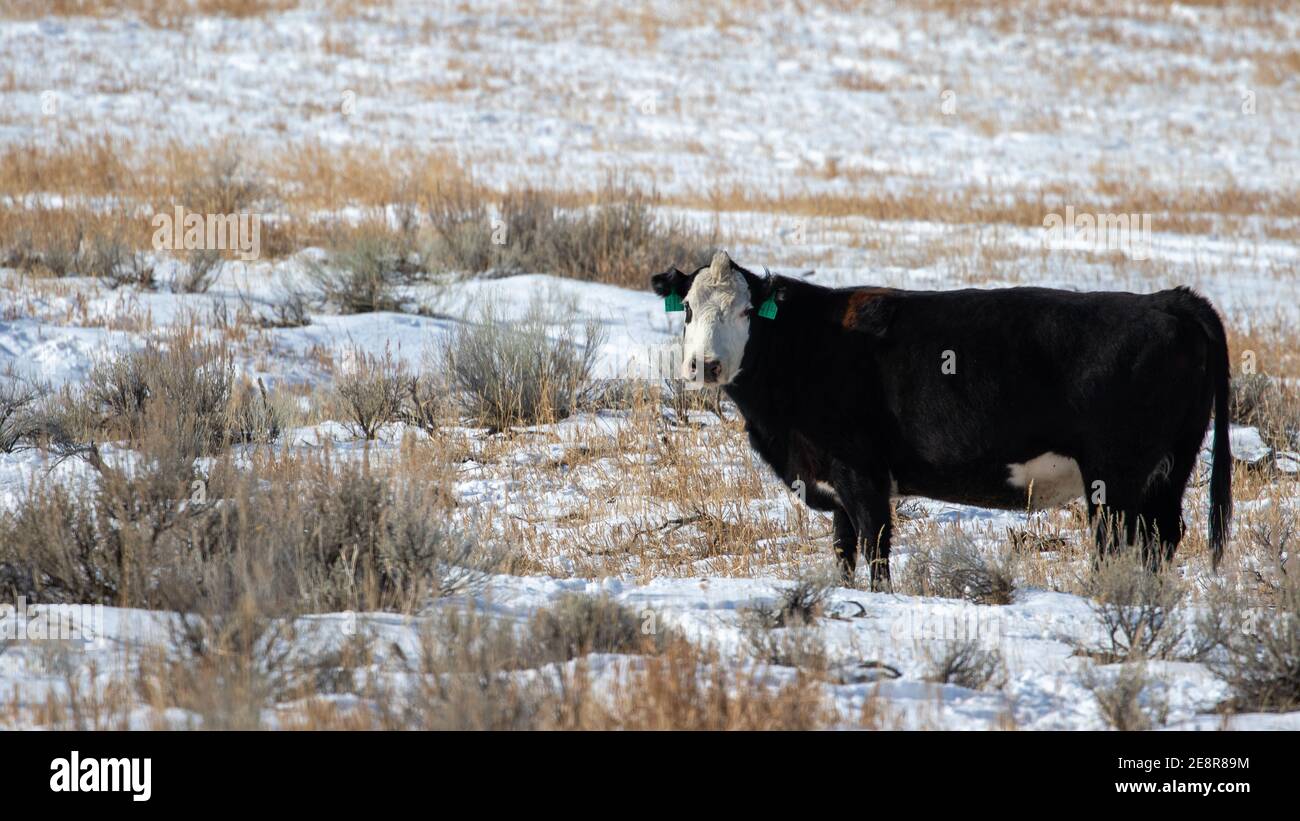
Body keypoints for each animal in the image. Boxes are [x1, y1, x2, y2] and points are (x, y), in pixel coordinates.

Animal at [655, 250, 1232, 584]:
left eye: (747, 310)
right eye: (687, 309)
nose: (704, 365)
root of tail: (1168, 300)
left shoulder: (862, 474)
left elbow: (876, 550)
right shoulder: (834, 482)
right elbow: (843, 553)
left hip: (1115, 477)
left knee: (1118, 544)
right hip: (1169, 470)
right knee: (1162, 539)